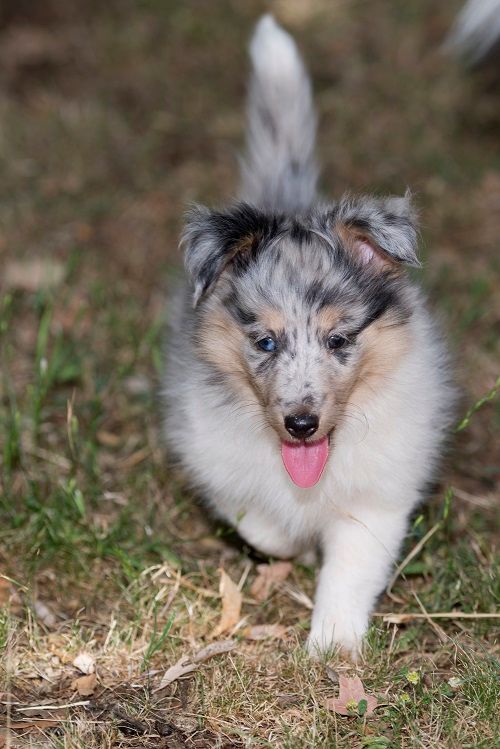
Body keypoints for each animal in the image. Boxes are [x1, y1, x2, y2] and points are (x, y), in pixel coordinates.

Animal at [163, 13, 454, 656]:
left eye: (339, 340)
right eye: (265, 342)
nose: (300, 425)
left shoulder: (377, 500)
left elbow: (349, 569)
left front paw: (333, 645)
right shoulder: (215, 460)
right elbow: (261, 524)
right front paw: (292, 544)